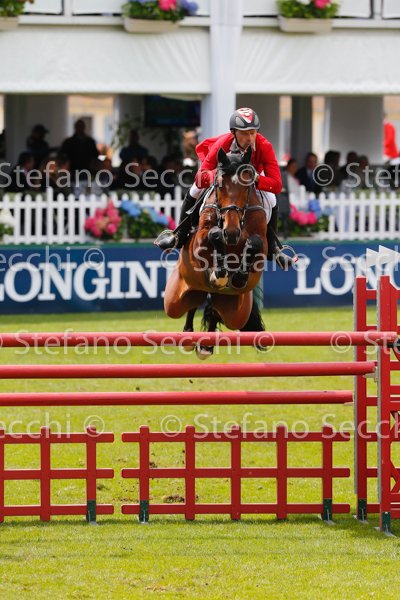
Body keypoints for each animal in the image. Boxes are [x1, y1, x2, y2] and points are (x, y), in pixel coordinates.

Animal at [164, 146, 267, 358]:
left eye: (247, 187)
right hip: (175, 299)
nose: (232, 232)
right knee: (191, 304)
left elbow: (254, 243)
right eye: (220, 186)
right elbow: (214, 233)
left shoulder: (262, 246)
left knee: (214, 310)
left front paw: (238, 276)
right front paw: (220, 271)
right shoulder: (198, 243)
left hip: (237, 314)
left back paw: (206, 345)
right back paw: (189, 337)